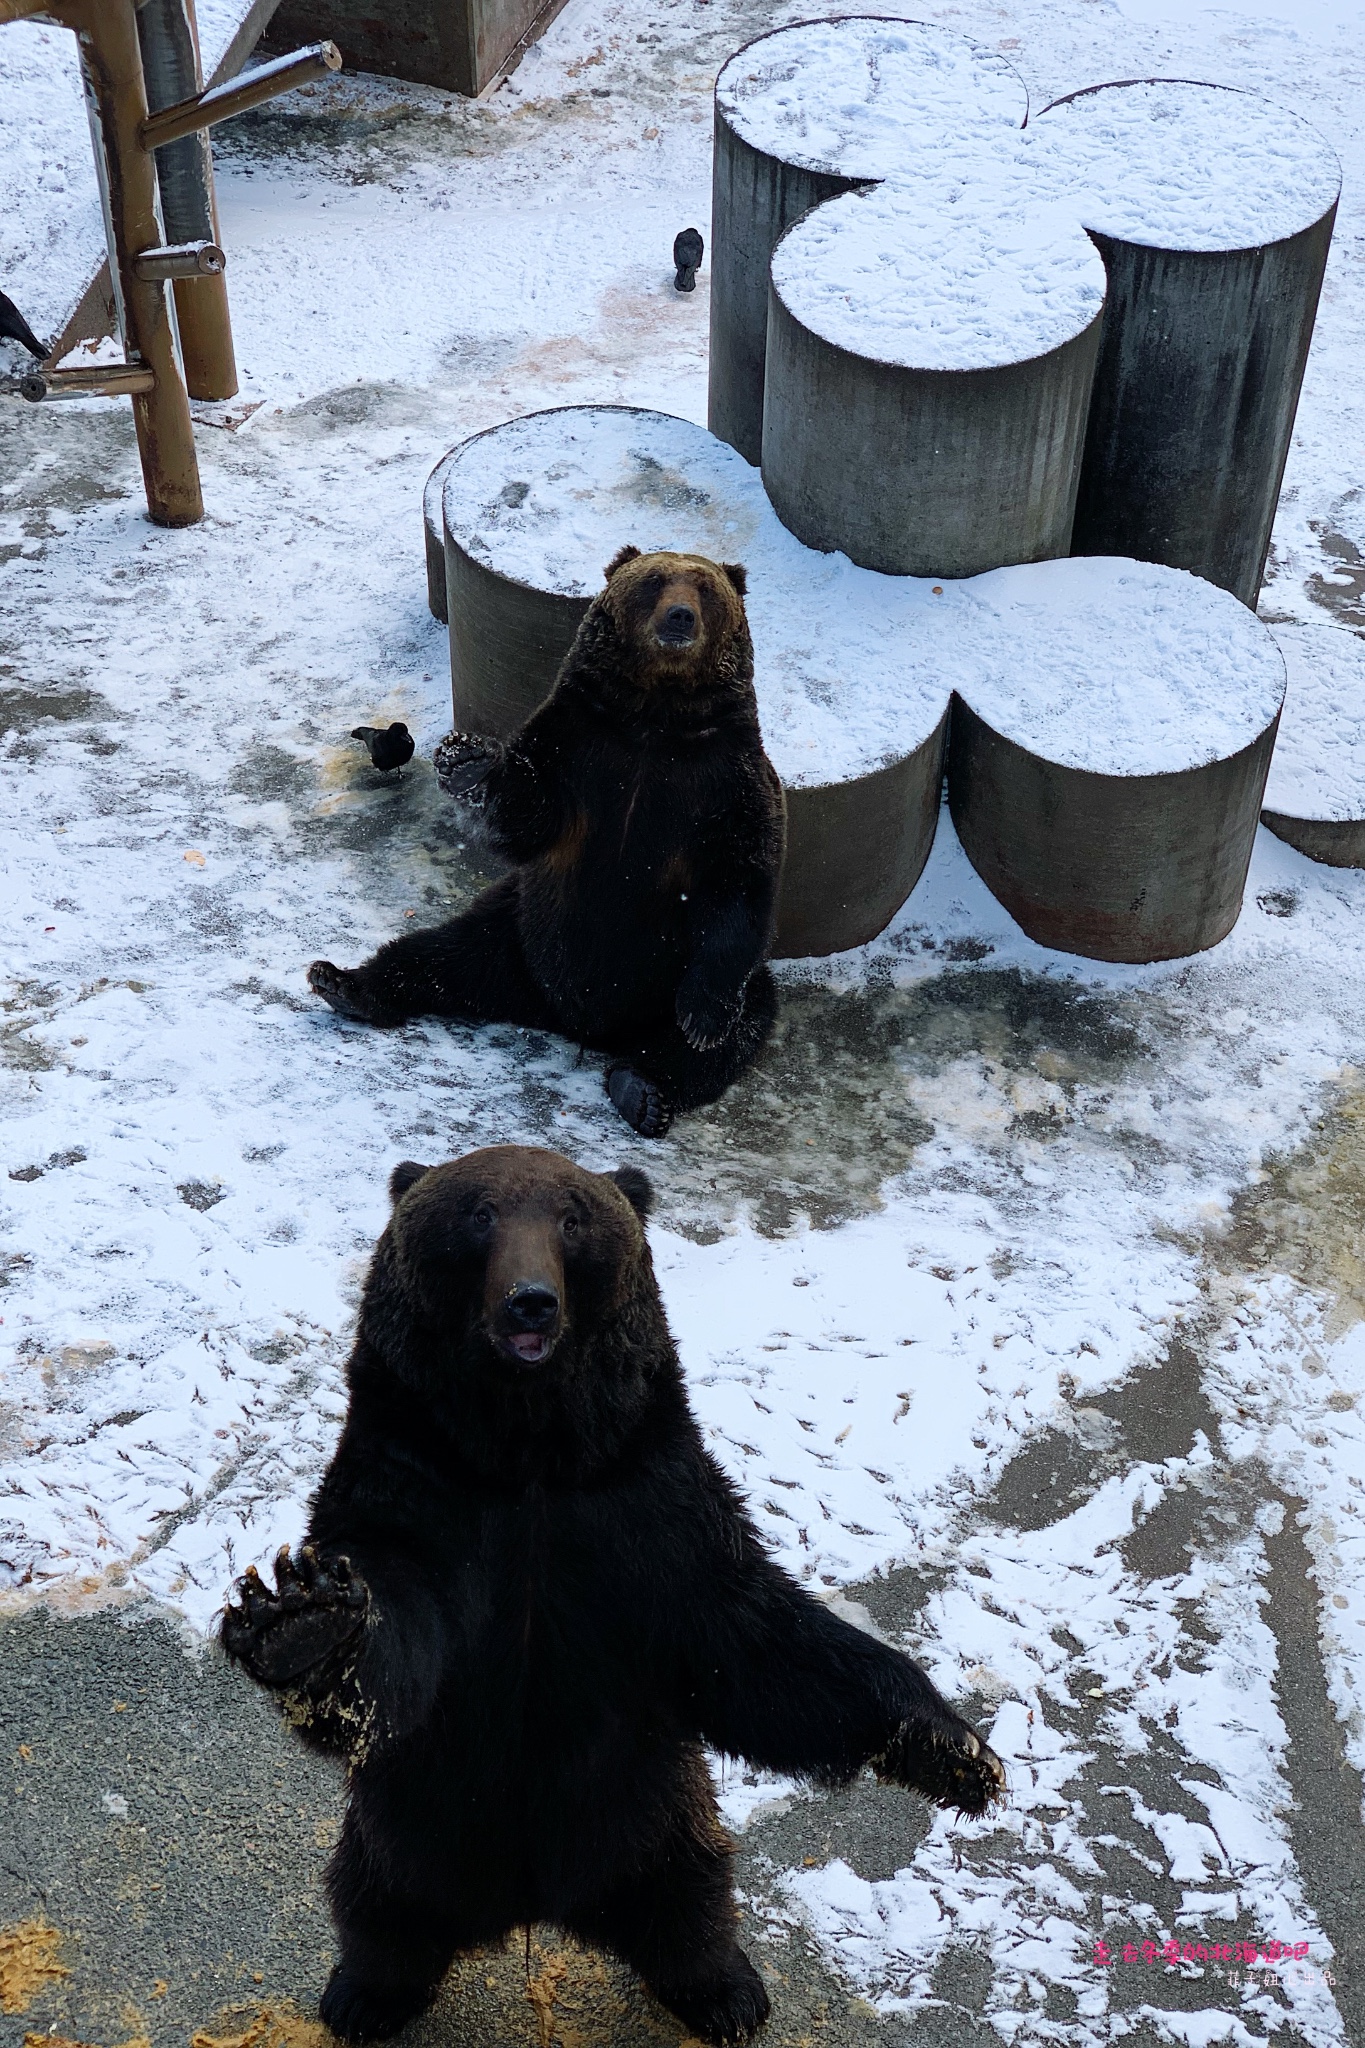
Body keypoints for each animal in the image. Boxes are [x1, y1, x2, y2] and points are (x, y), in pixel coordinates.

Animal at [222, 1146, 1002, 2039]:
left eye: (572, 1217)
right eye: (479, 1213)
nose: (531, 1299)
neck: (527, 1451)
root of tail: (530, 1905)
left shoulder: (645, 1509)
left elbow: (759, 1644)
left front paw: (954, 1752)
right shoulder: (417, 1487)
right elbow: (393, 1643)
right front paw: (298, 1622)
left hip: (654, 1822)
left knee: (695, 1907)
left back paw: (728, 1993)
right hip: (408, 1833)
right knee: (374, 1911)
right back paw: (363, 1997)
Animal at [304, 552, 785, 1146]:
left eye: (705, 588)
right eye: (654, 581)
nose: (680, 617)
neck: (657, 715)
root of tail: (568, 1019)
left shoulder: (727, 777)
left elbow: (740, 880)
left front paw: (701, 1018)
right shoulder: (576, 743)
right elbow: (526, 814)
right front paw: (468, 759)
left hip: (666, 980)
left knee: (727, 1035)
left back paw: (644, 1090)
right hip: (517, 932)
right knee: (438, 953)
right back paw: (342, 982)